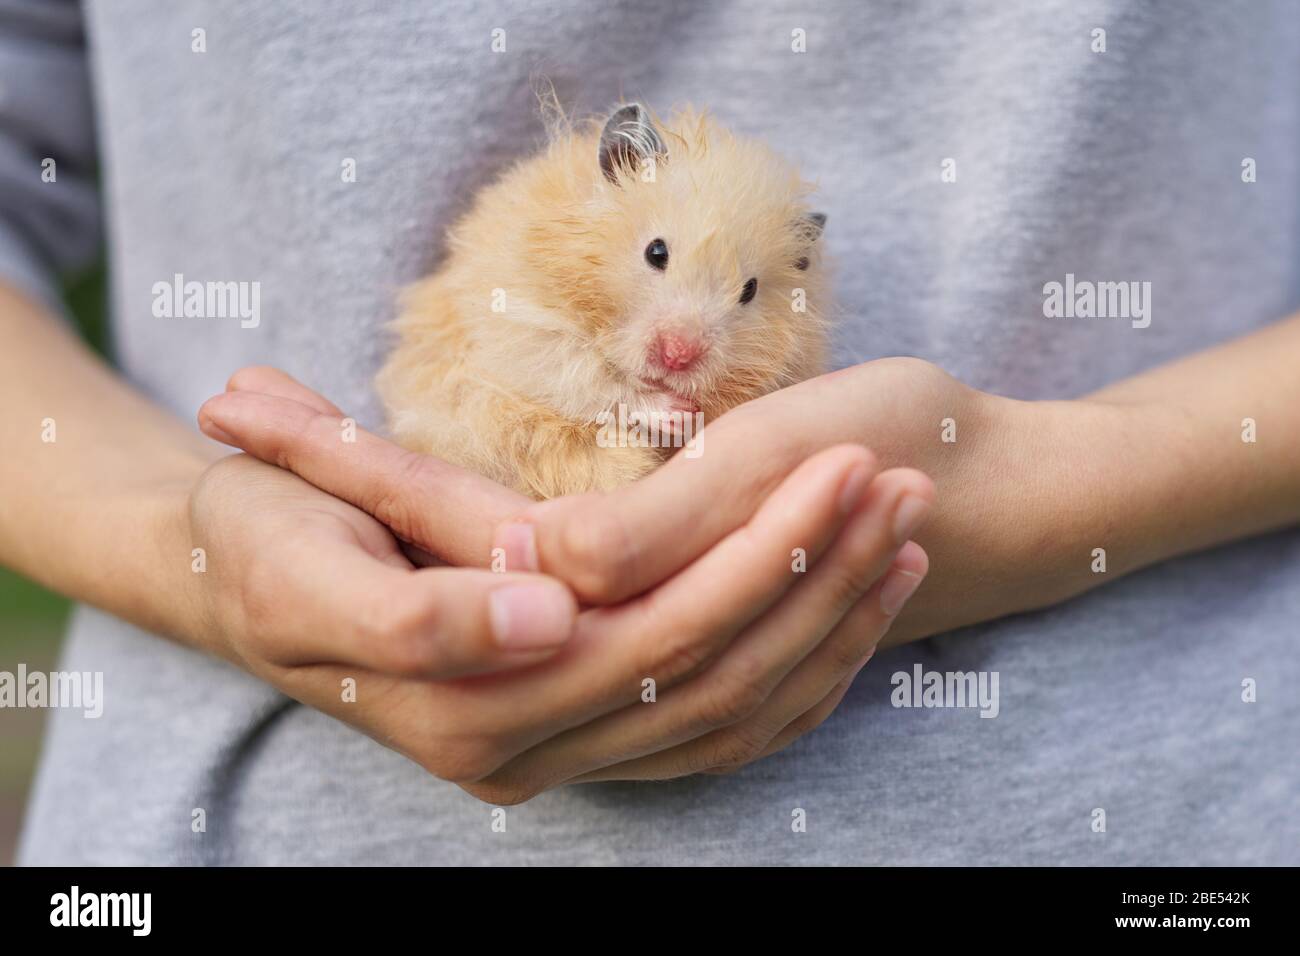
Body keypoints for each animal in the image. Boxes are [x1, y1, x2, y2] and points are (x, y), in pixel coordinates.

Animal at [377, 102, 826, 502]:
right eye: (656, 252)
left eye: (749, 290)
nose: (677, 356)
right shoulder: (524, 327)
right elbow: (593, 381)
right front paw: (674, 411)